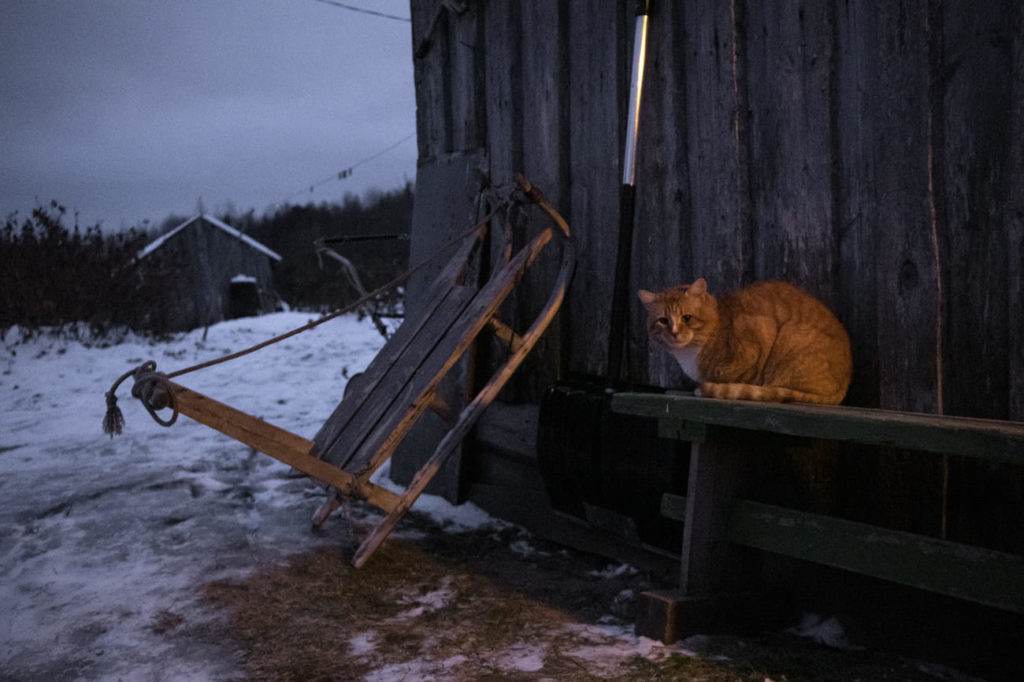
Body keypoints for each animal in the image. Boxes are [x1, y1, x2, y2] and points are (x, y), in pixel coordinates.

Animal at [634, 278, 851, 403]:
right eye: (663, 321)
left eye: (686, 318)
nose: (674, 333)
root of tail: (844, 385)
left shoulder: (760, 331)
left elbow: (741, 379)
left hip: (790, 334)